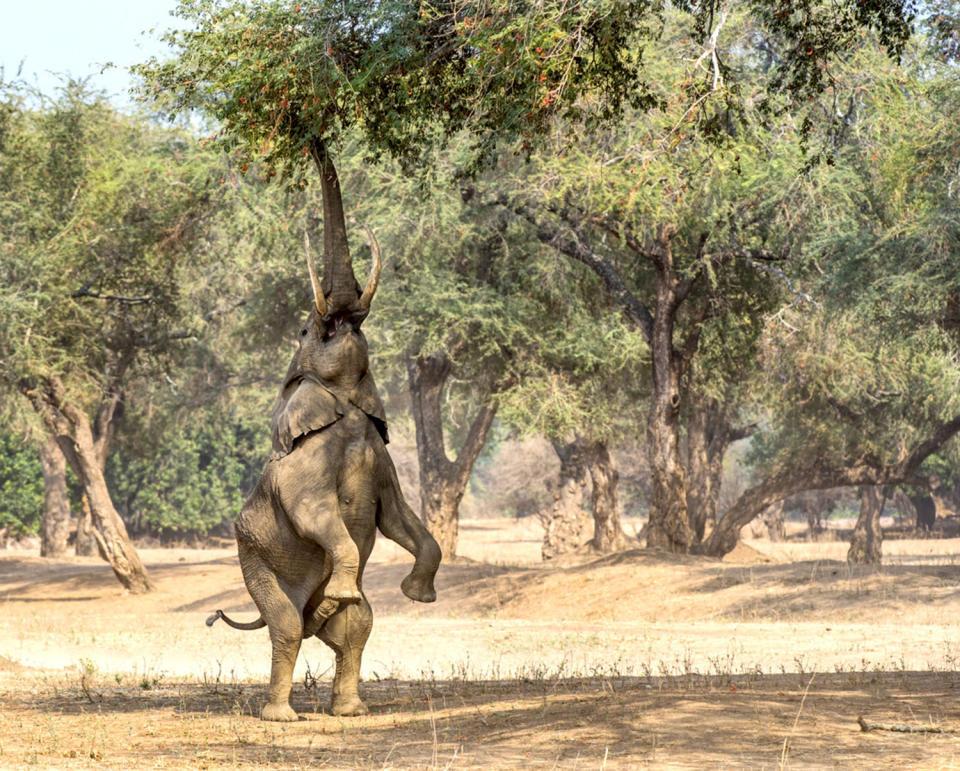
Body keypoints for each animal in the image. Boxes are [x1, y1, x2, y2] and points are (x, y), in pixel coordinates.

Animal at [210, 152, 442, 724]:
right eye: (308, 331)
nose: (315, 144)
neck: (343, 401)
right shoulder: (305, 464)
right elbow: (315, 514)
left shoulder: (380, 458)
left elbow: (399, 518)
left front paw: (417, 596)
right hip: (253, 557)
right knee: (288, 625)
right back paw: (281, 715)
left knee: (357, 626)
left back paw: (350, 708)